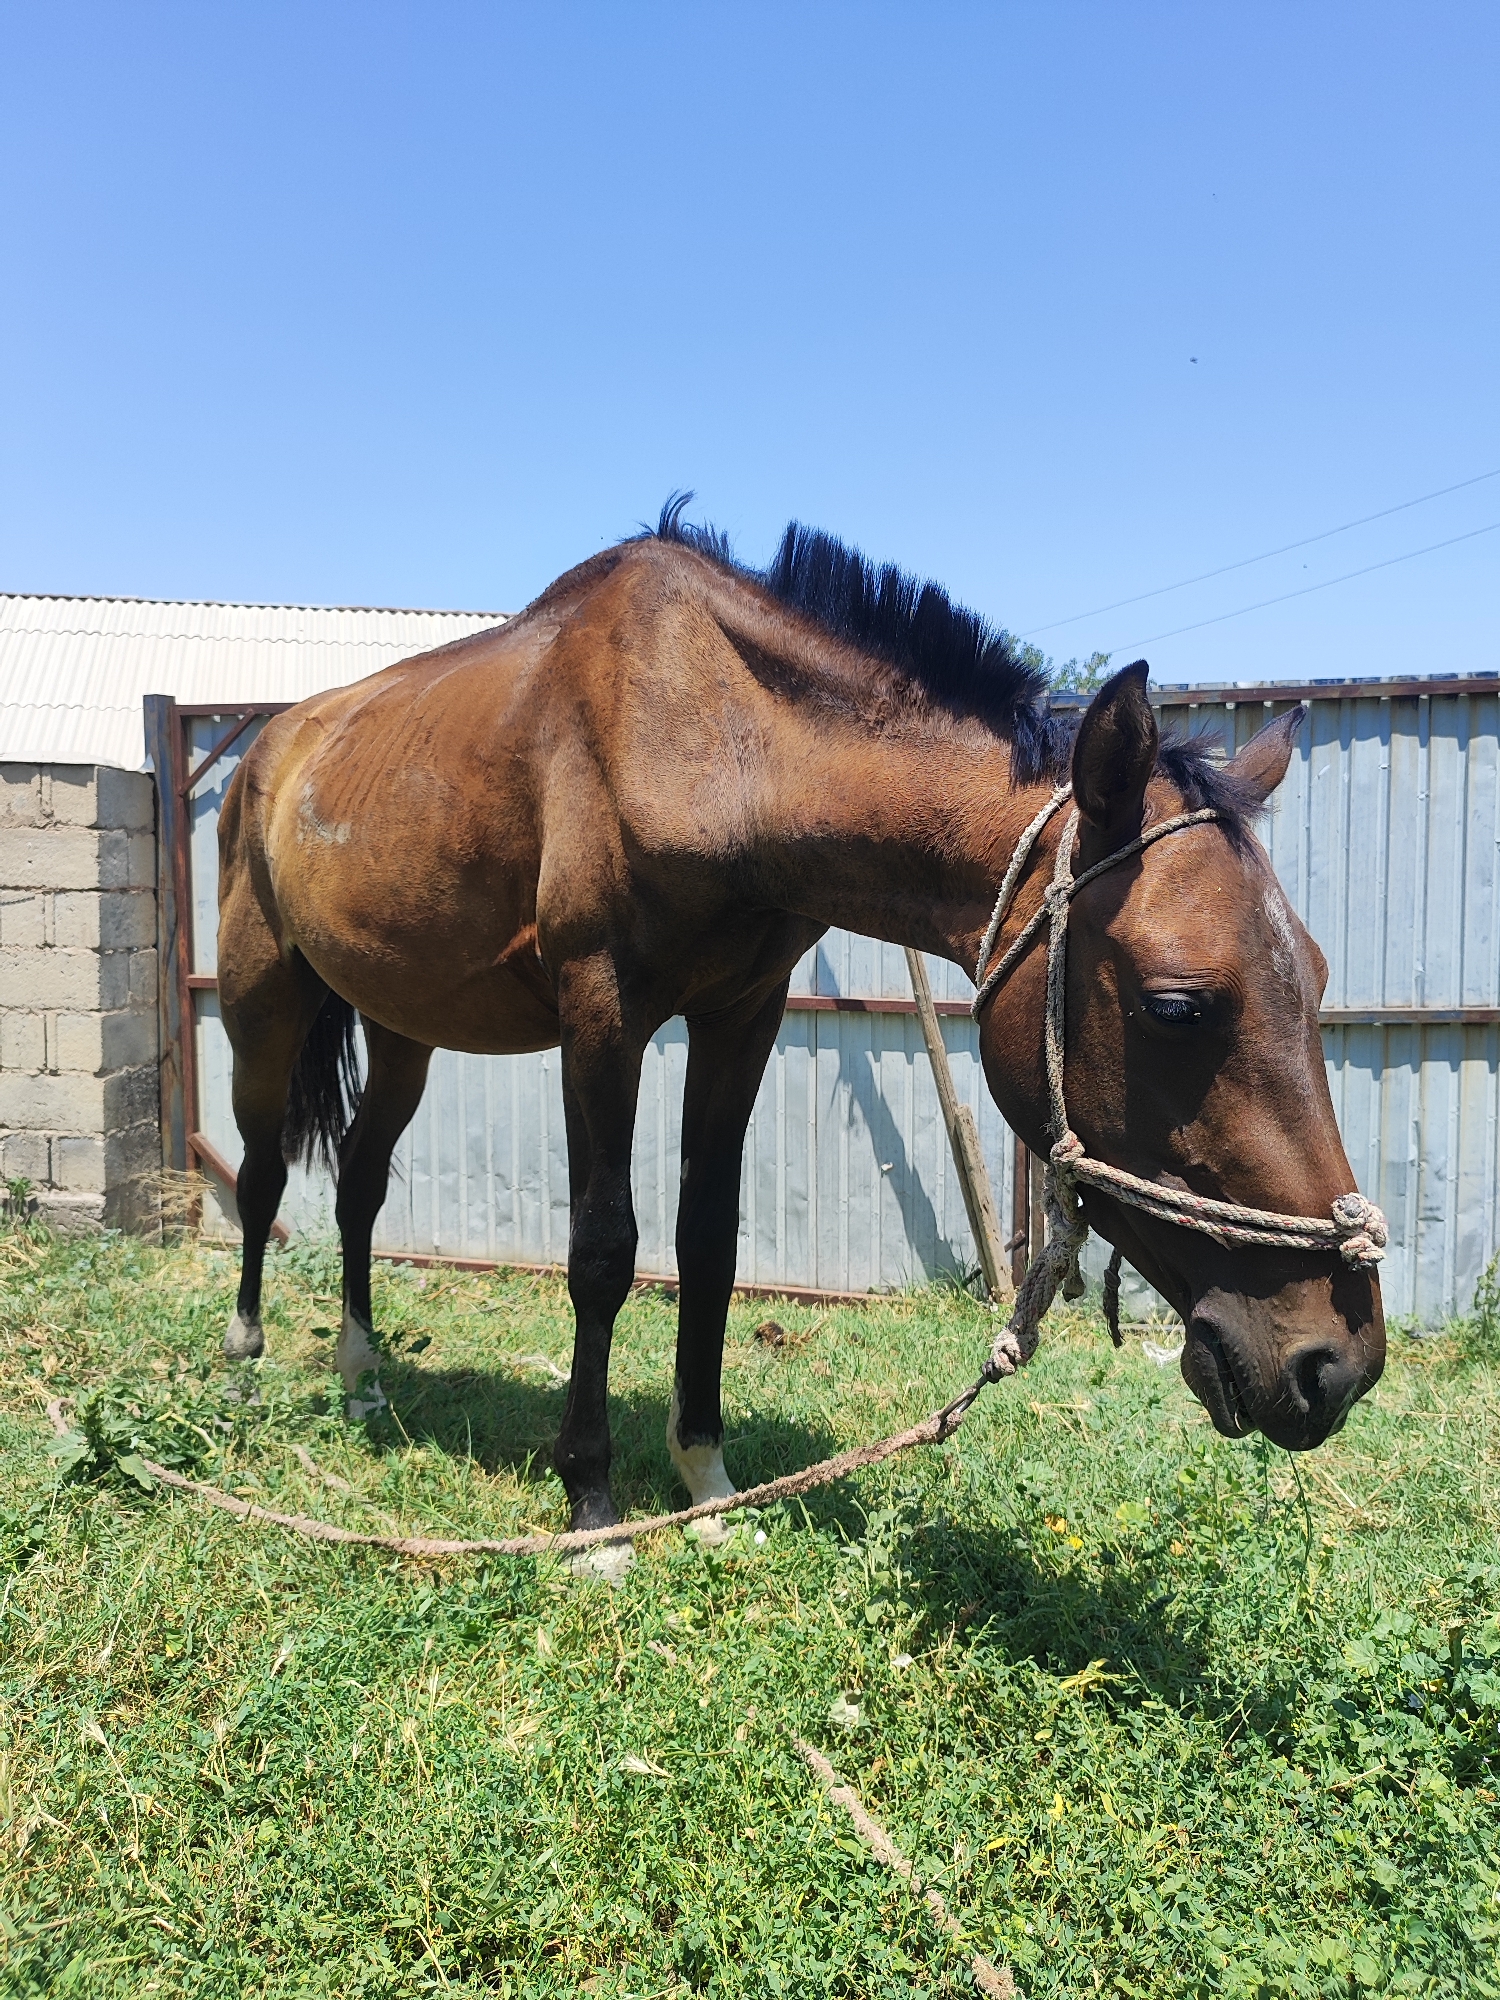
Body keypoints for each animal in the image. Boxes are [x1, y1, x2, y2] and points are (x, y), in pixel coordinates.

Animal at [216, 498, 1385, 1533]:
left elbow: (709, 1243)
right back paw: (245, 1360)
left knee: (359, 1183)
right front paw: (593, 1499)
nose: (1336, 1363)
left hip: (401, 1027)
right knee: (264, 1173)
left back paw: (363, 1376)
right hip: (257, 998)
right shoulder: (602, 1015)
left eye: (1321, 977)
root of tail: (270, 745)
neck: (712, 742)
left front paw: (704, 1478)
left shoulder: (742, 1016)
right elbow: (603, 1249)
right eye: (1176, 1006)